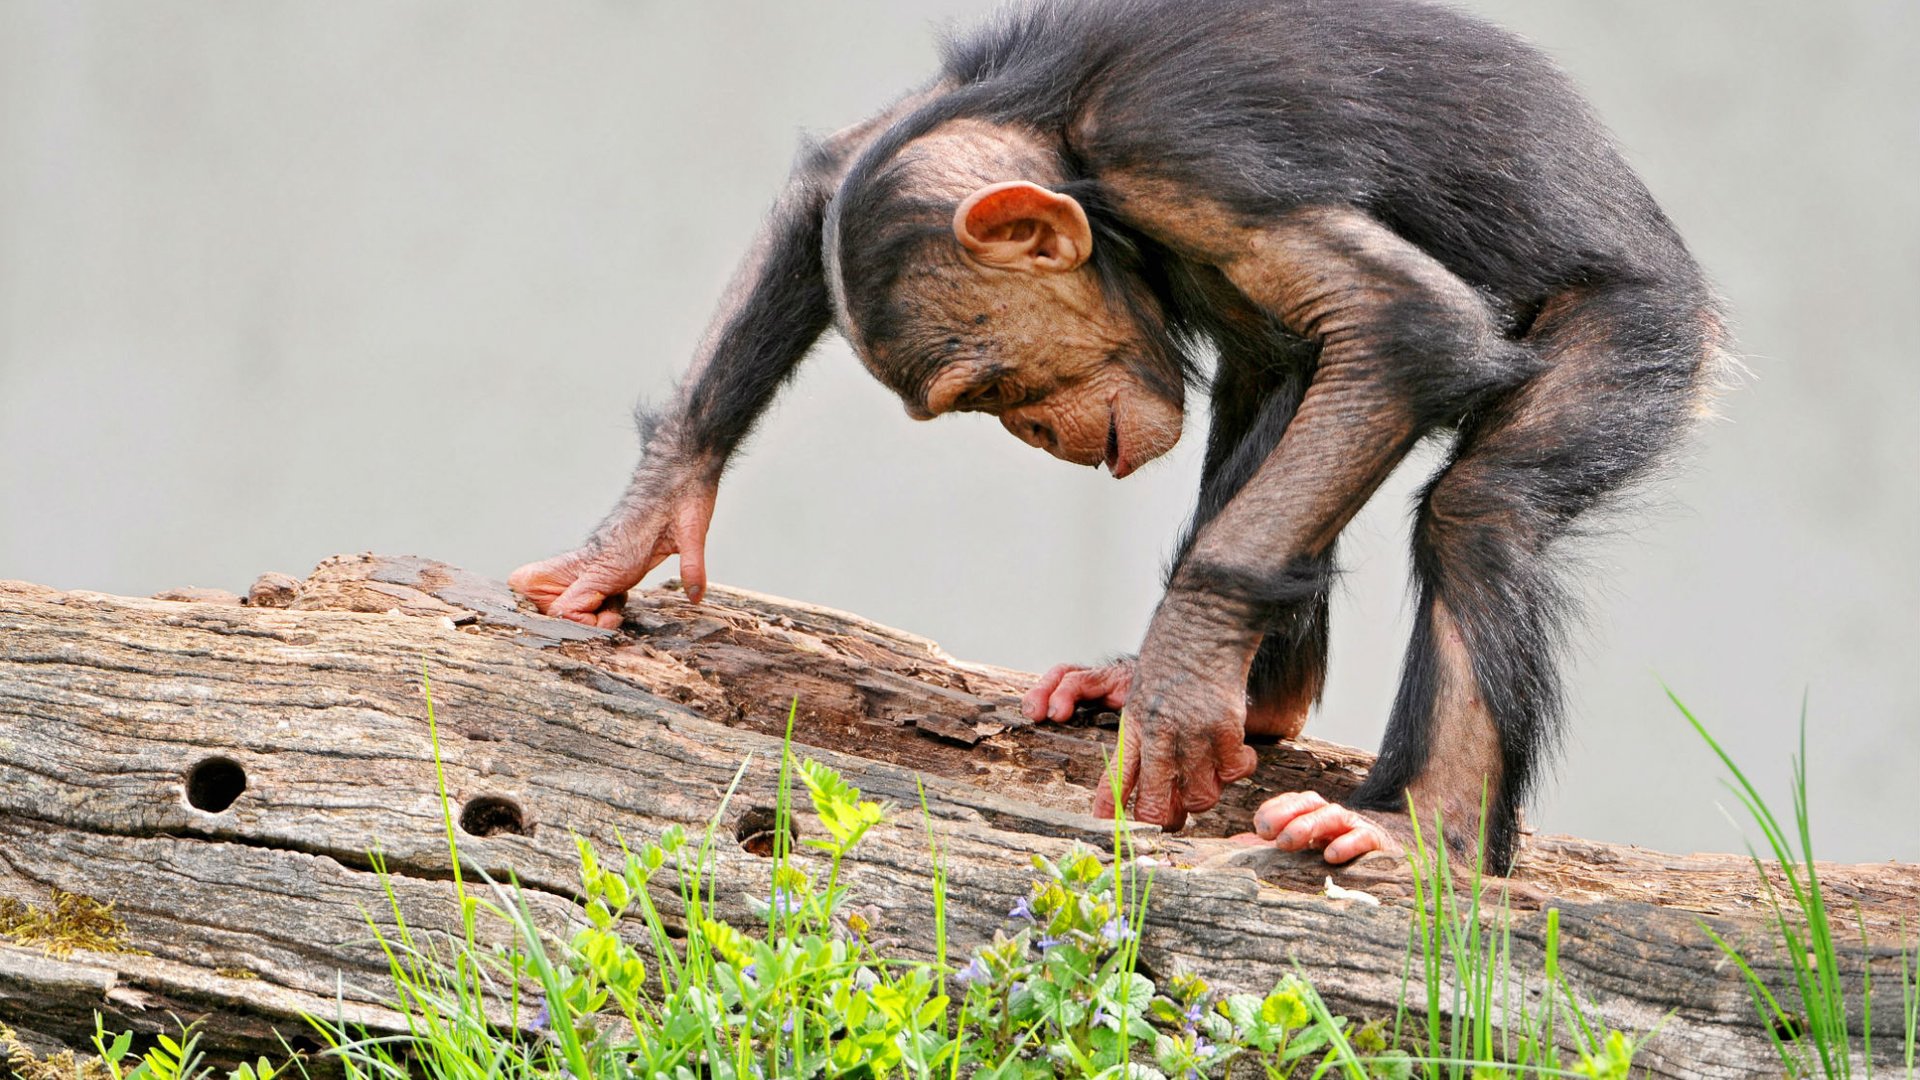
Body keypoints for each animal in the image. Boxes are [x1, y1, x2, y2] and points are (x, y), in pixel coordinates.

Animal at [510, 0, 1728, 864]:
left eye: (989, 385)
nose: (1034, 429)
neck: (1066, 134)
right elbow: (829, 175)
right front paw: (638, 524)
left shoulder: (1180, 160)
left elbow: (1404, 325)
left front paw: (1182, 679)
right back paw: (1256, 696)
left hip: (1645, 330)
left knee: (1481, 514)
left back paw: (1420, 832)